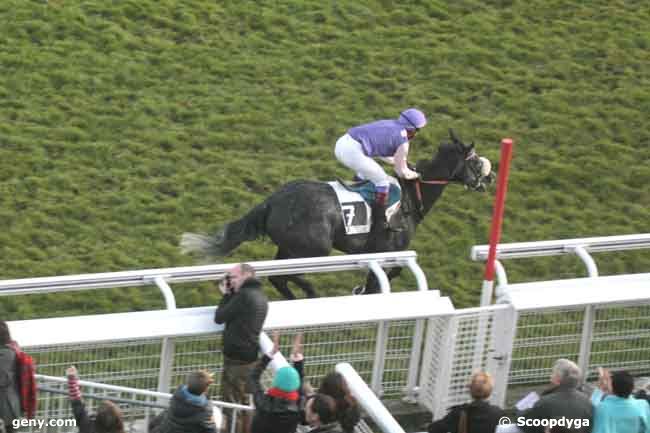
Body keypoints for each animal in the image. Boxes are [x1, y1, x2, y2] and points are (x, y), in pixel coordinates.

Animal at [180, 130, 488, 298]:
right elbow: (389, 274)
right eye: (474, 162)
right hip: (312, 249)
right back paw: (310, 294)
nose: (490, 178)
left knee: (278, 277)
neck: (412, 197)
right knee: (288, 275)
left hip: (289, 248)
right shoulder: (389, 249)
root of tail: (273, 201)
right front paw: (366, 292)